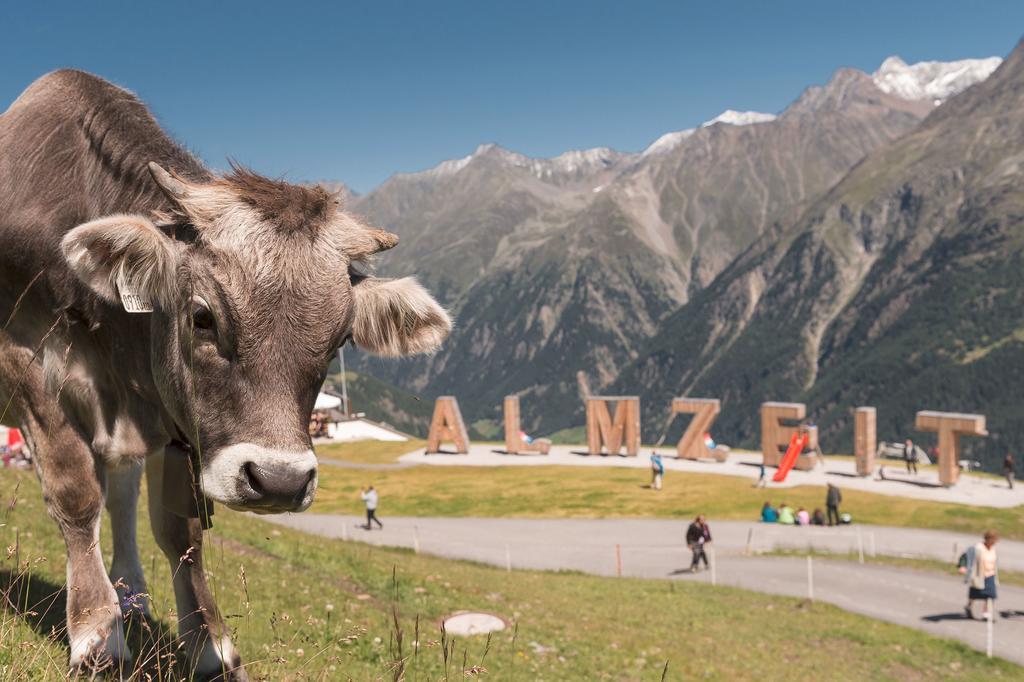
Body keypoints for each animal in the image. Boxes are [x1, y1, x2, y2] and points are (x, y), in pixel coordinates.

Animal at [0, 71, 452, 675]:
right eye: (202, 316)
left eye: (340, 340)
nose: (281, 481)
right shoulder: (24, 362)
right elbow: (75, 494)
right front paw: (98, 638)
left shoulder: (172, 408)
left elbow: (180, 528)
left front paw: (209, 646)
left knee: (123, 492)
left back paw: (131, 593)